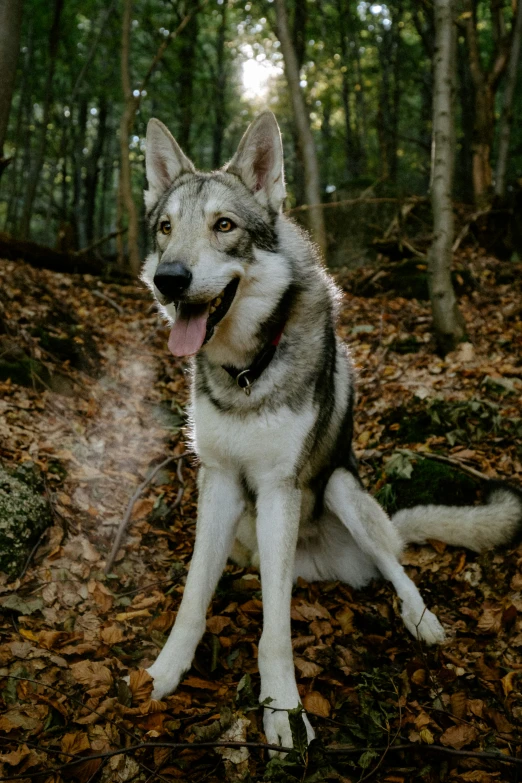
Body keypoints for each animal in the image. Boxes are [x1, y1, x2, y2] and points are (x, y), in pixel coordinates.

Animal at [140, 108, 520, 748]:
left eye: (224, 225)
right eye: (166, 228)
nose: (169, 278)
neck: (248, 371)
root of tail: (322, 567)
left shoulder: (280, 488)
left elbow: (275, 631)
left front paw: (283, 711)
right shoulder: (218, 480)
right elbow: (193, 594)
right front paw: (167, 671)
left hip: (341, 488)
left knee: (398, 567)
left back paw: (423, 619)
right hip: (251, 536)